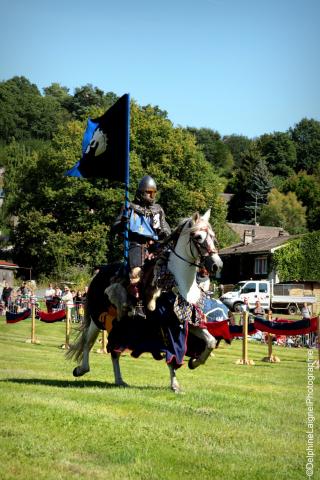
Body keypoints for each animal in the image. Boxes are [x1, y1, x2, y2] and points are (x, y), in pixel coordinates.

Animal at [67, 210, 222, 394]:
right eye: (198, 237)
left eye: (213, 236)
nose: (217, 265)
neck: (177, 280)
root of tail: (99, 273)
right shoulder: (166, 326)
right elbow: (172, 353)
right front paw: (175, 384)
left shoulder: (186, 320)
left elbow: (210, 342)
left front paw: (194, 363)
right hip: (98, 317)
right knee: (88, 342)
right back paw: (82, 369)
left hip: (118, 324)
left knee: (113, 350)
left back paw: (119, 380)